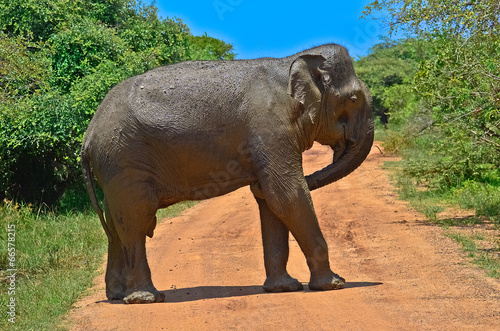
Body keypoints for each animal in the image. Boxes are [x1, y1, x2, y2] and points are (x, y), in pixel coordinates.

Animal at [80, 42, 374, 304]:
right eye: (353, 99)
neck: (292, 60)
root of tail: (89, 134)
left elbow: (271, 200)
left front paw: (284, 288)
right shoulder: (270, 129)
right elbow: (286, 195)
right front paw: (334, 284)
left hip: (113, 166)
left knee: (115, 224)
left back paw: (117, 296)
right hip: (125, 160)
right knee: (135, 221)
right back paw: (147, 298)